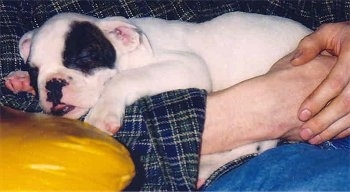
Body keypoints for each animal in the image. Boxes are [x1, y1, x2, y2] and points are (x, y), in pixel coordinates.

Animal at [4, 11, 312, 182]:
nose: (52, 85)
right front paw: (21, 81)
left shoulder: (186, 67)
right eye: (34, 70)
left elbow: (123, 79)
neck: (130, 50)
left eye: (84, 58)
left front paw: (102, 112)